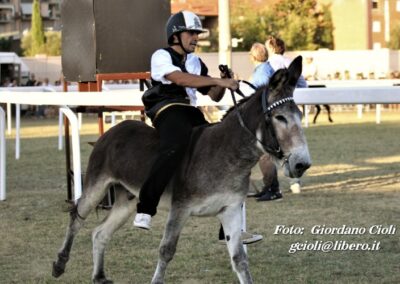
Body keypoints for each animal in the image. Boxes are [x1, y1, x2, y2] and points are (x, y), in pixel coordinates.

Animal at [51, 56, 310, 284]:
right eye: (280, 117)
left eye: (299, 115)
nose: (302, 164)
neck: (227, 154)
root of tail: (114, 130)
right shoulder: (180, 208)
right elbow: (166, 251)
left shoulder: (230, 210)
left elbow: (239, 259)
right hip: (97, 185)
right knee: (77, 217)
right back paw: (60, 264)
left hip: (127, 199)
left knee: (100, 233)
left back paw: (99, 276)